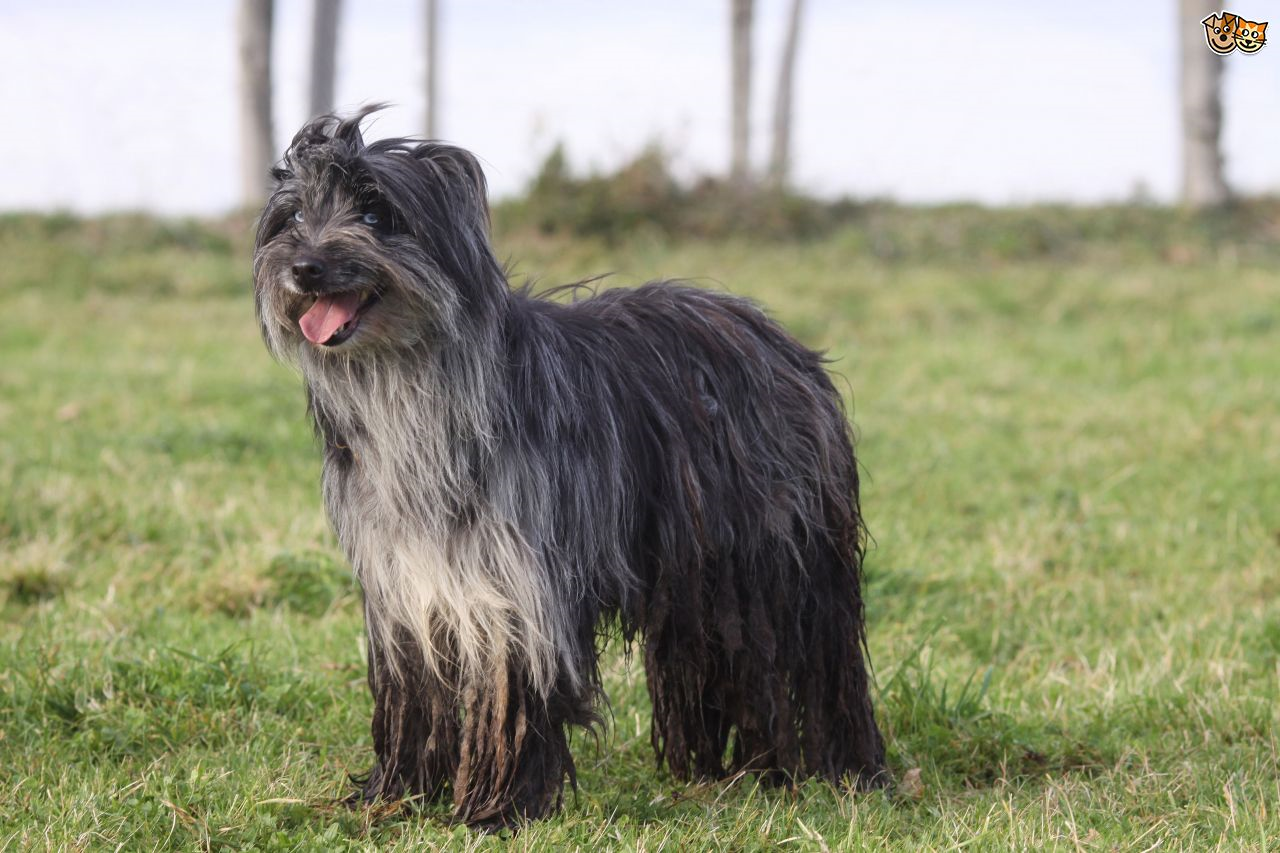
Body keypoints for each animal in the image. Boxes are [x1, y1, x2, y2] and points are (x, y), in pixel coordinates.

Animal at [250, 109, 890, 824]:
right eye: (294, 215)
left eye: (374, 211)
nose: (304, 268)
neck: (414, 386)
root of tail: (776, 338)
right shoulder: (407, 587)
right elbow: (417, 694)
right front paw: (397, 792)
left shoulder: (517, 583)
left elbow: (513, 693)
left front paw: (496, 808)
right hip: (703, 581)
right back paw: (739, 771)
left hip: (781, 563)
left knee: (821, 664)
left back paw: (846, 770)